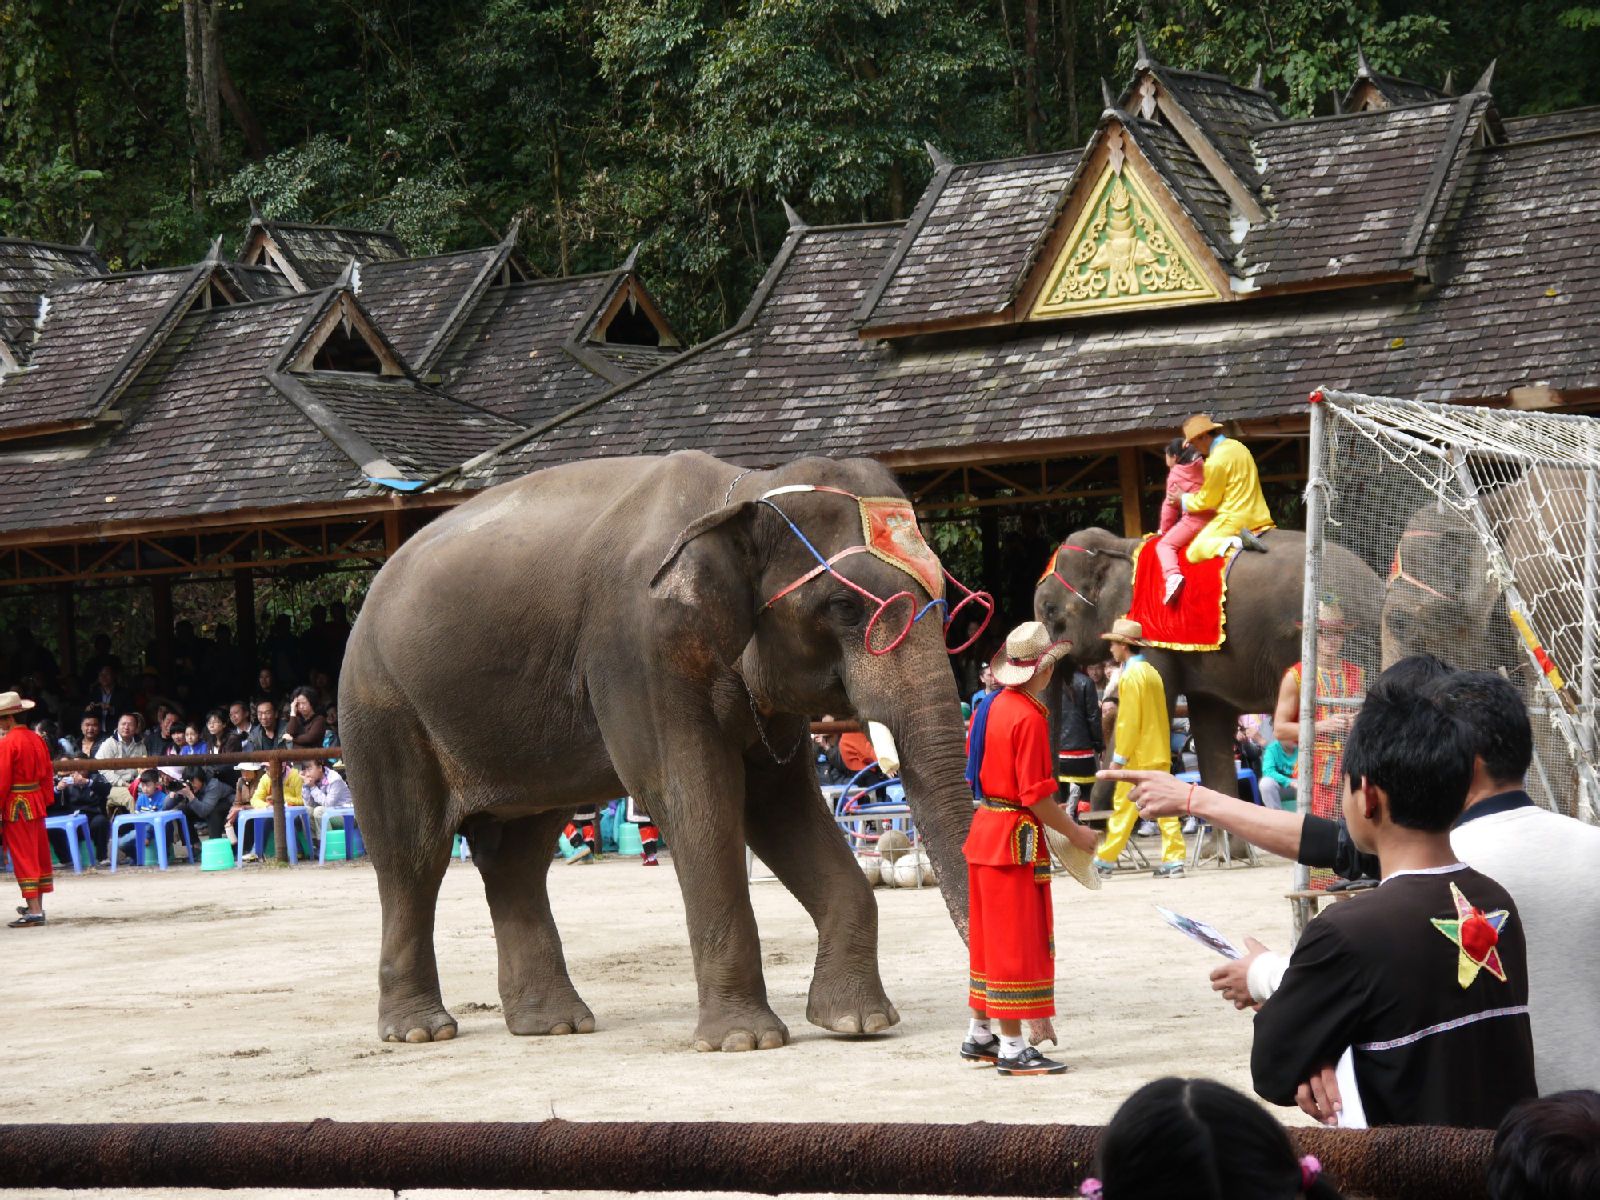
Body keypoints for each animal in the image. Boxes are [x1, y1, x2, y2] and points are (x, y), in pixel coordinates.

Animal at [340, 451, 972, 1049]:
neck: (740, 491)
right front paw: (745, 1041)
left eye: (948, 598)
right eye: (843, 606)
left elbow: (778, 803)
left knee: (517, 857)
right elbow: (695, 795)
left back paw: (555, 1026)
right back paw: (420, 1031)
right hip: (382, 711)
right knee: (413, 856)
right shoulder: (637, 646)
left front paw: (858, 1023)